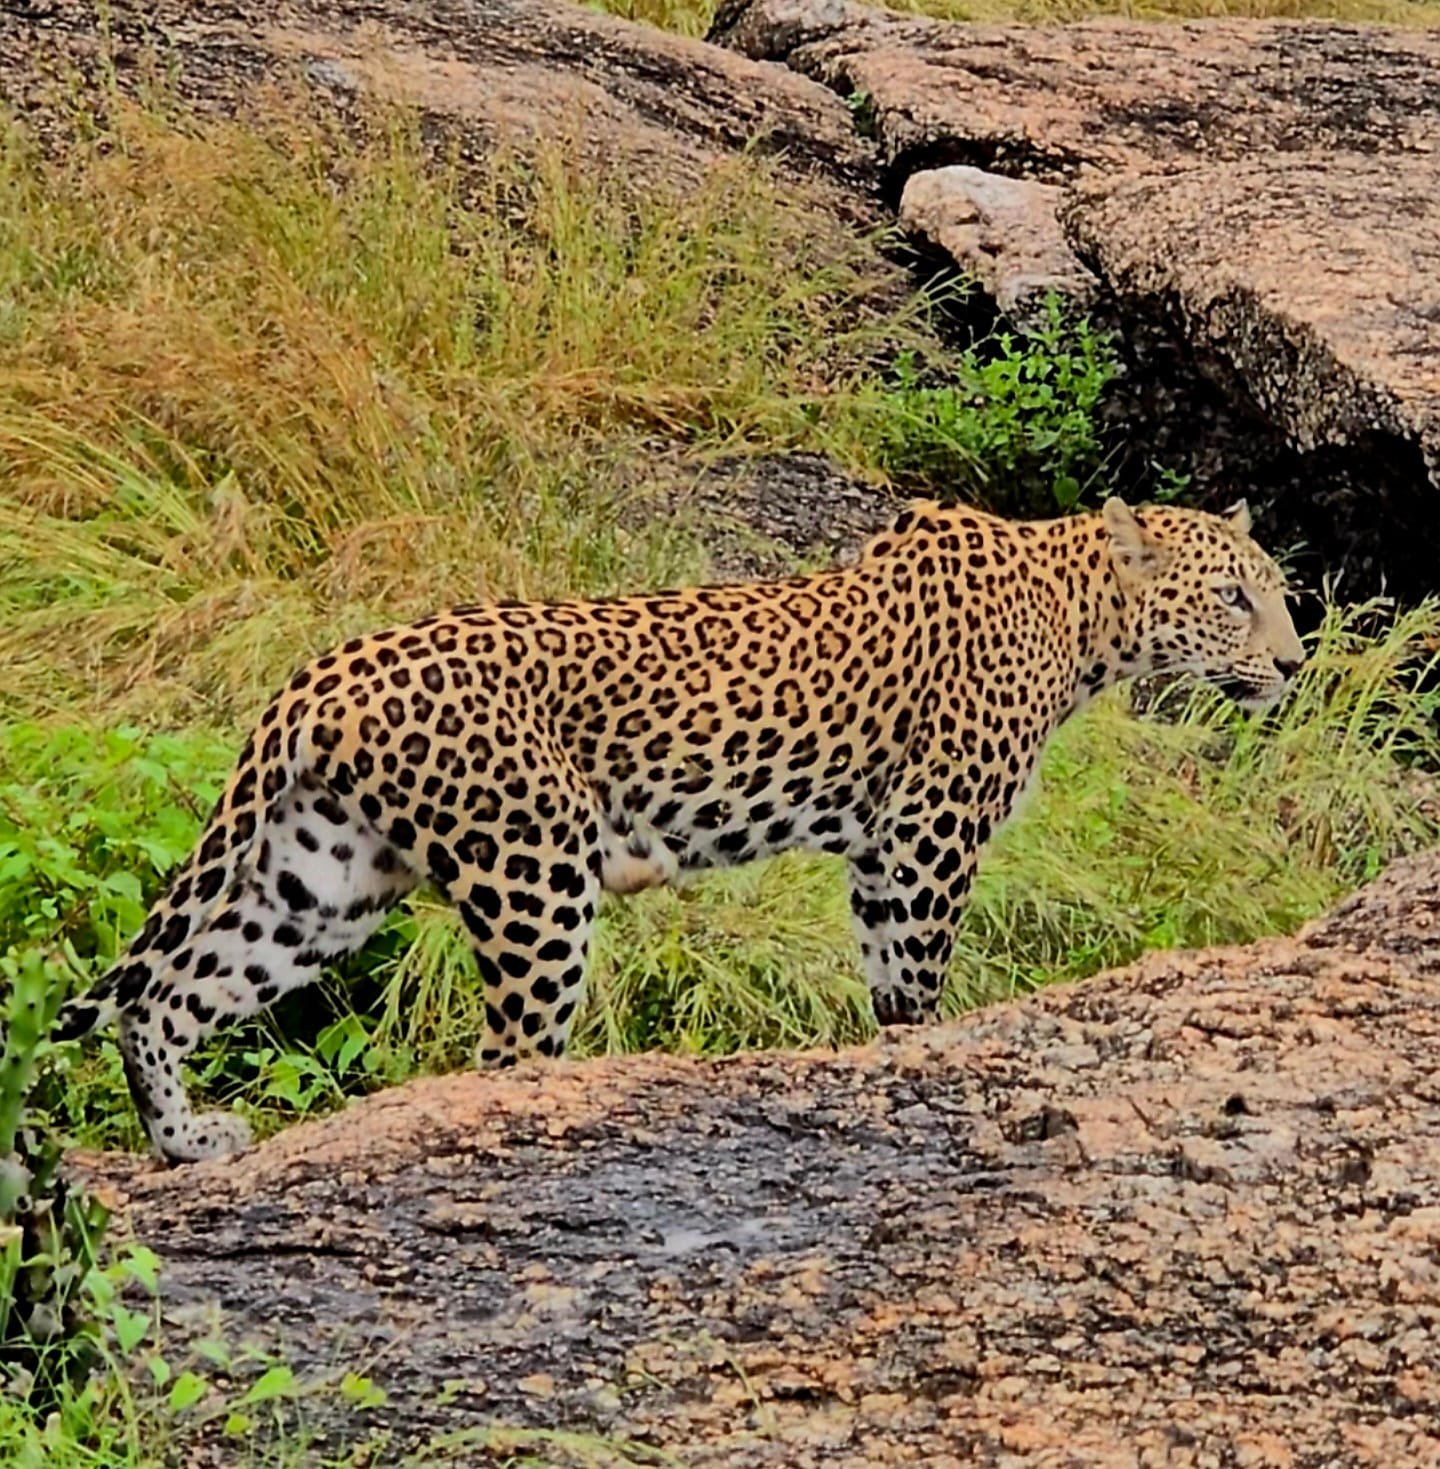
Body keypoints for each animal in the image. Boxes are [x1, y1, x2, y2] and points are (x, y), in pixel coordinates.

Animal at [54, 495, 1305, 1164]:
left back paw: (184, 1140)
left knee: (169, 997)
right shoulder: (927, 834)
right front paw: (925, 1057)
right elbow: (916, 982)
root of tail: (320, 673)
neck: (1080, 611)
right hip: (536, 870)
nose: (1295, 664)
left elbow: (882, 979)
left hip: (324, 880)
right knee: (507, 1049)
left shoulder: (879, 852)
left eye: (1277, 590)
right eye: (1233, 597)